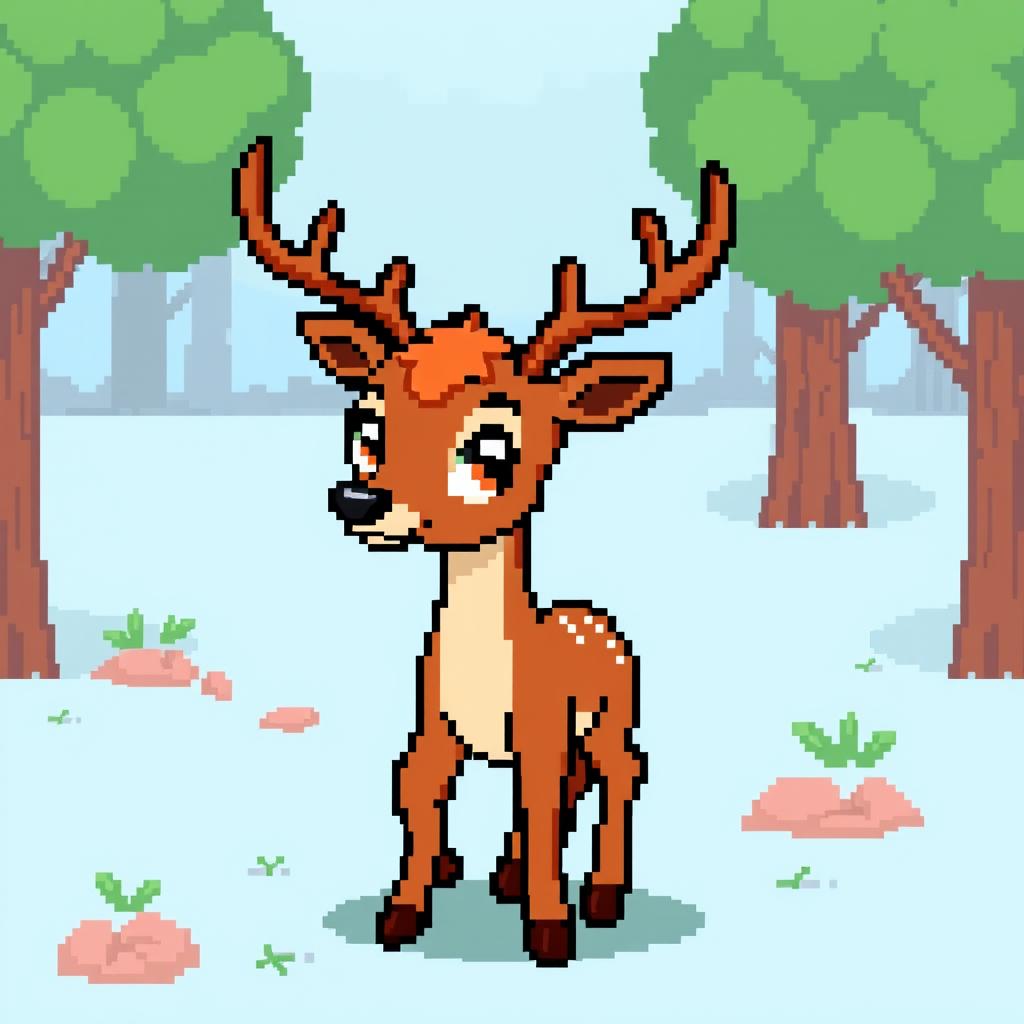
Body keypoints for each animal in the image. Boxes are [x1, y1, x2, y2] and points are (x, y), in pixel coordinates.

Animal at [234, 136, 734, 966]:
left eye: (494, 442)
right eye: (366, 420)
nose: (358, 501)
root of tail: (595, 617)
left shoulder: (542, 728)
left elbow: (542, 802)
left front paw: (551, 930)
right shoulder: (434, 725)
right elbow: (419, 793)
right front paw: (404, 909)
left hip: (612, 711)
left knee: (620, 771)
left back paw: (601, 894)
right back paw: (500, 874)